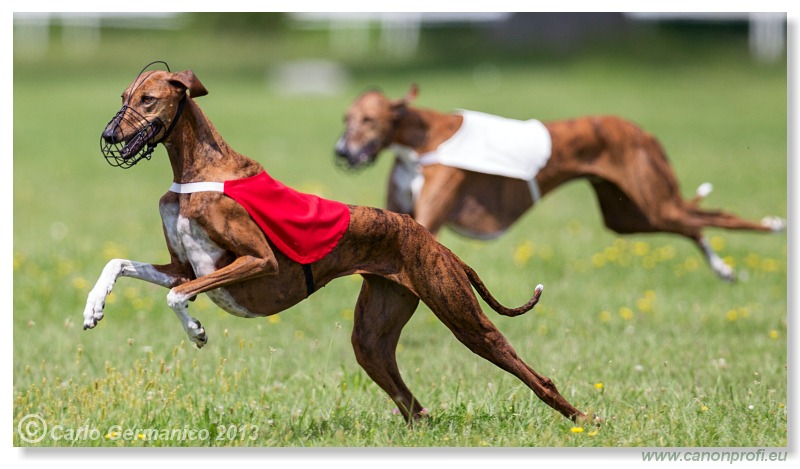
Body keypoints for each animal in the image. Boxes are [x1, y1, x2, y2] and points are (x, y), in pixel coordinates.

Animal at [83, 64, 592, 426]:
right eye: (124, 99)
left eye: (148, 100)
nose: (107, 135)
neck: (197, 170)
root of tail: (431, 241)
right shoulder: (184, 267)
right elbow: (119, 264)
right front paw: (94, 308)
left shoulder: (255, 262)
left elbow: (175, 296)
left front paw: (196, 331)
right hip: (372, 339)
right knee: (414, 408)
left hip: (464, 319)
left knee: (532, 374)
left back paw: (583, 418)